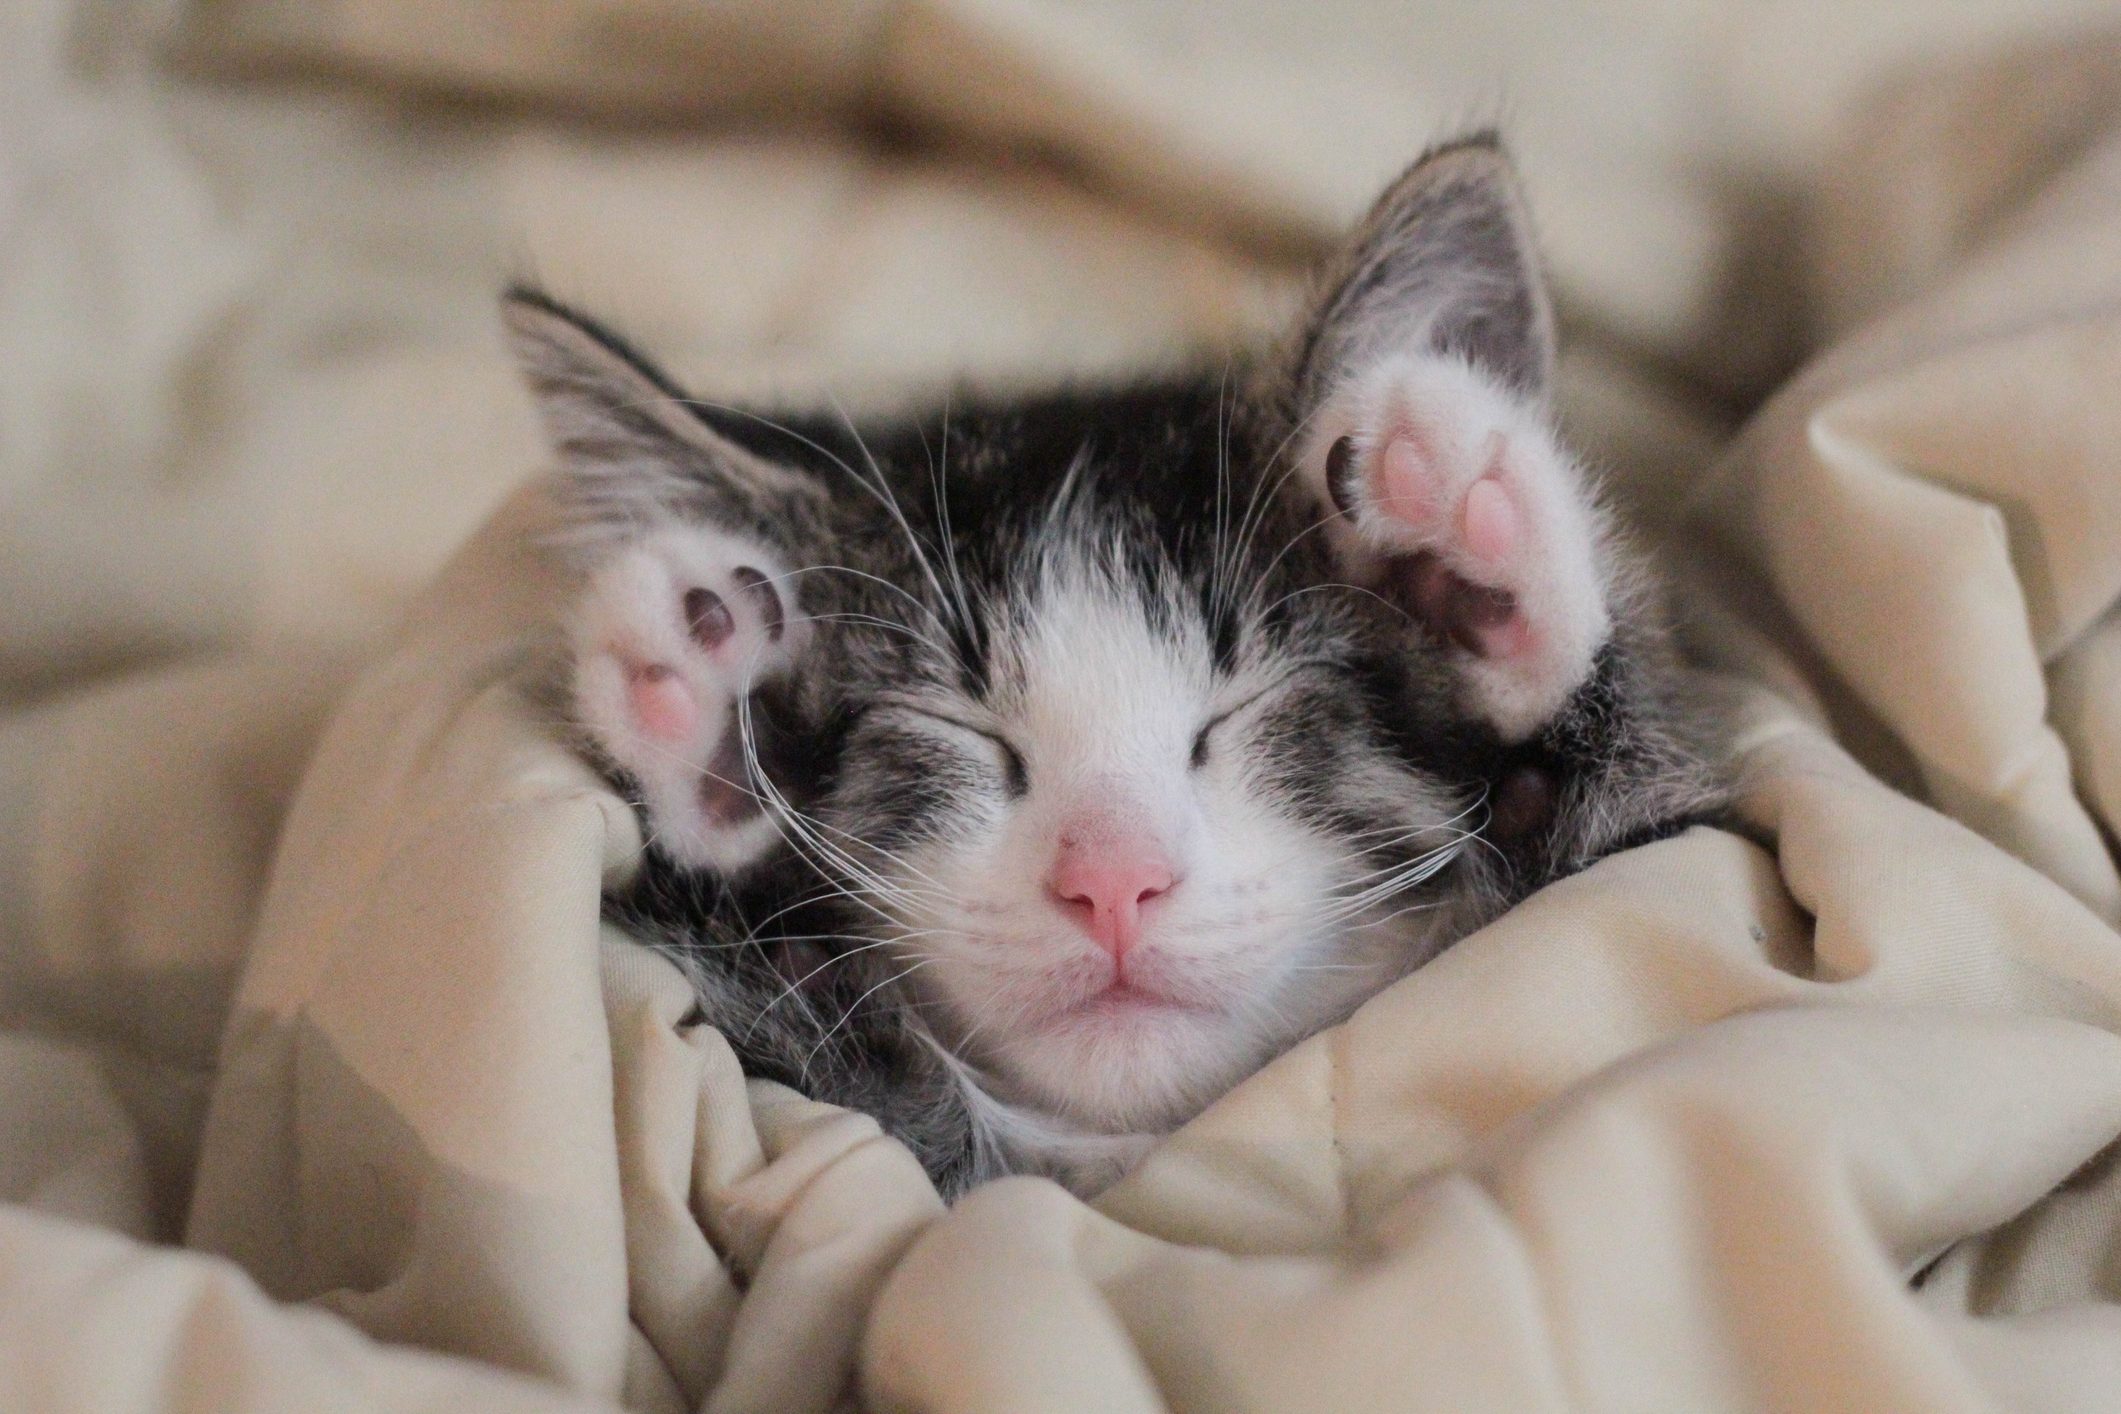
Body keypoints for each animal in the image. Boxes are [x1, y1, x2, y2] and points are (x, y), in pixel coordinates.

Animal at [509, 132, 1722, 1204]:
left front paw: (1452, 566)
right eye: (957, 725)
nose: (1112, 882)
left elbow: (1632, 856)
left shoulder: (1638, 879)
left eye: (1247, 702)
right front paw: (729, 722)